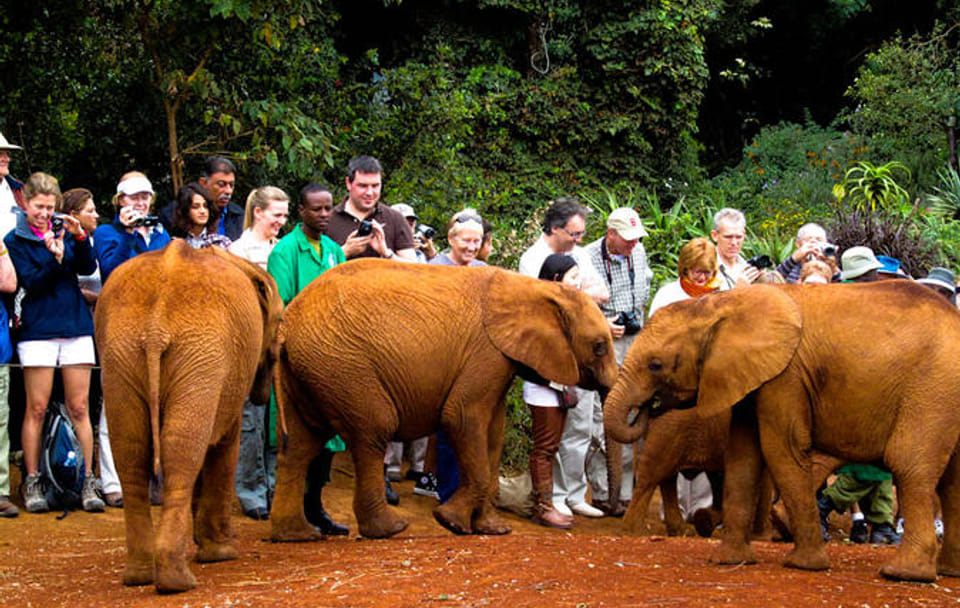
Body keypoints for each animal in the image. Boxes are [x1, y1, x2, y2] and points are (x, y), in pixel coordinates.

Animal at [95, 241, 283, 593]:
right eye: (280, 322)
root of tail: (155, 327)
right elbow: (225, 442)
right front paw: (220, 554)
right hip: (200, 354)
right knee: (182, 454)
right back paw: (178, 581)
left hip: (121, 356)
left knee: (134, 453)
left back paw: (141, 575)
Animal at [269, 259, 619, 541]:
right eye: (600, 346)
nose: (611, 509)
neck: (535, 287)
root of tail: (288, 322)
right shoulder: (486, 353)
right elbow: (462, 418)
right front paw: (450, 522)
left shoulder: (499, 361)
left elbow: (493, 434)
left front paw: (493, 529)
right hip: (343, 367)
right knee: (374, 431)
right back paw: (390, 529)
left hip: (309, 369)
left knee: (299, 446)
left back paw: (296, 535)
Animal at [603, 281, 960, 582]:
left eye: (655, 365)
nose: (649, 407)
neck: (723, 304)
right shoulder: (753, 377)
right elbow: (743, 457)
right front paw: (729, 560)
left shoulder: (785, 377)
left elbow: (780, 450)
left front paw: (804, 565)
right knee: (950, 481)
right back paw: (946, 571)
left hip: (932, 389)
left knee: (911, 467)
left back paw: (904, 574)